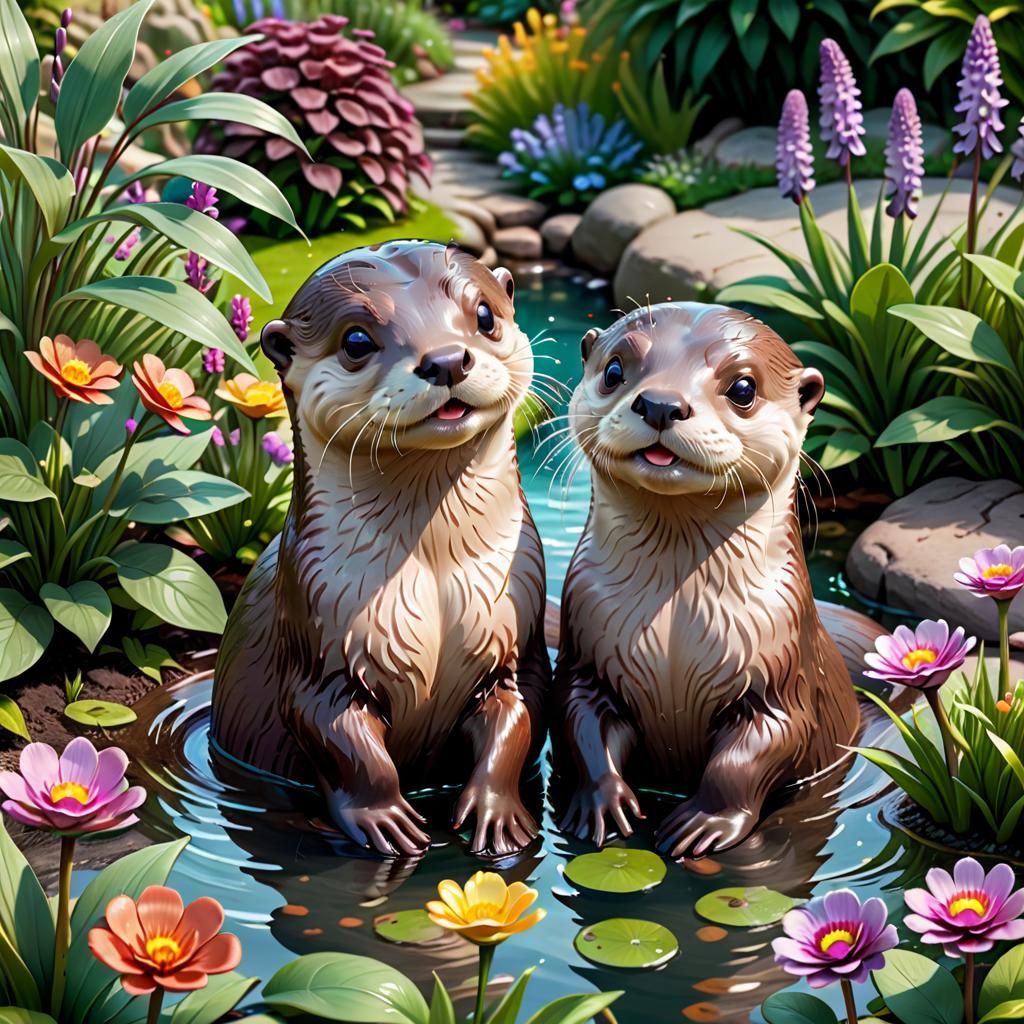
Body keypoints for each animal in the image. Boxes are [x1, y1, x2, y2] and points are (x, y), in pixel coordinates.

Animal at [211, 241, 549, 859]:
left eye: (484, 314)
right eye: (356, 341)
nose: (447, 360)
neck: (436, 569)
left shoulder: (518, 632)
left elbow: (516, 717)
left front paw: (497, 812)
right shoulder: (318, 635)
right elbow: (340, 738)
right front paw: (384, 818)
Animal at [556, 301, 879, 861]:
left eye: (743, 388)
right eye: (614, 370)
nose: (661, 404)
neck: (674, 627)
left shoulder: (780, 668)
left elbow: (755, 751)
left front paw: (704, 822)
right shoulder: (586, 653)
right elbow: (581, 722)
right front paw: (602, 801)